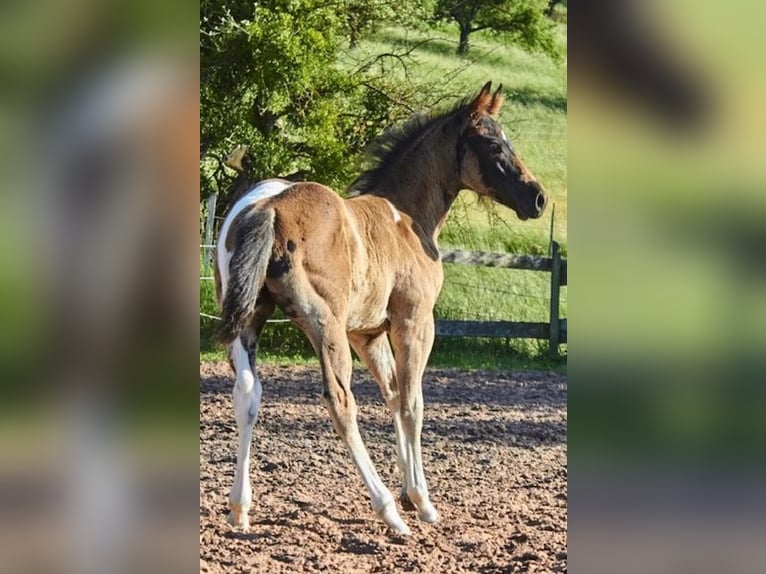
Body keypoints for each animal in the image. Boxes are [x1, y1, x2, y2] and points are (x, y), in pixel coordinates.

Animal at [215, 81, 548, 535]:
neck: (405, 218)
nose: (538, 198)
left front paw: (410, 491)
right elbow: (412, 402)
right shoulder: (414, 322)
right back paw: (387, 509)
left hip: (249, 322)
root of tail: (266, 208)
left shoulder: (367, 333)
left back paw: (239, 508)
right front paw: (421, 501)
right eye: (494, 143)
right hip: (325, 326)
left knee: (247, 395)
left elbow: (391, 393)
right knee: (340, 401)